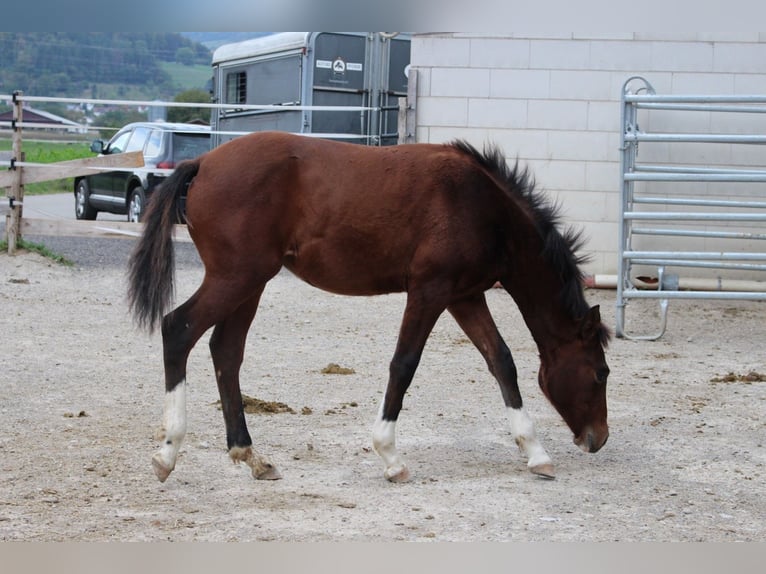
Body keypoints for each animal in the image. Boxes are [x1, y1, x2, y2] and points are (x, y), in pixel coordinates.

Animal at [130, 132, 612, 486]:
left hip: (250, 284)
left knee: (226, 352)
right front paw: (390, 456)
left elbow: (502, 362)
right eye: (600, 373)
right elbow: (404, 364)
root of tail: (204, 163)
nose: (598, 440)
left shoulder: (465, 297)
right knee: (178, 329)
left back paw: (251, 456)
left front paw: (536, 453)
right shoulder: (430, 292)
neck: (482, 206)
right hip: (237, 279)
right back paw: (167, 453)